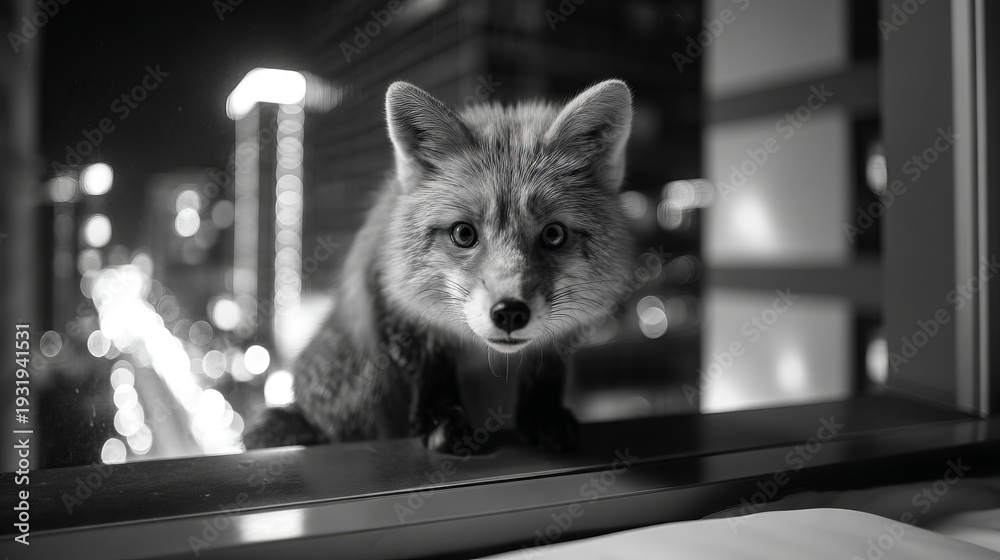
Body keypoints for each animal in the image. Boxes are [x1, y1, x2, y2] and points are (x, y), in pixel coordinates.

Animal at [242, 79, 634, 454]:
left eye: (553, 235)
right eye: (463, 234)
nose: (509, 312)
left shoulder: (558, 340)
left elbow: (545, 372)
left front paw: (542, 417)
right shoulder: (394, 301)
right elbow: (430, 368)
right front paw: (441, 422)